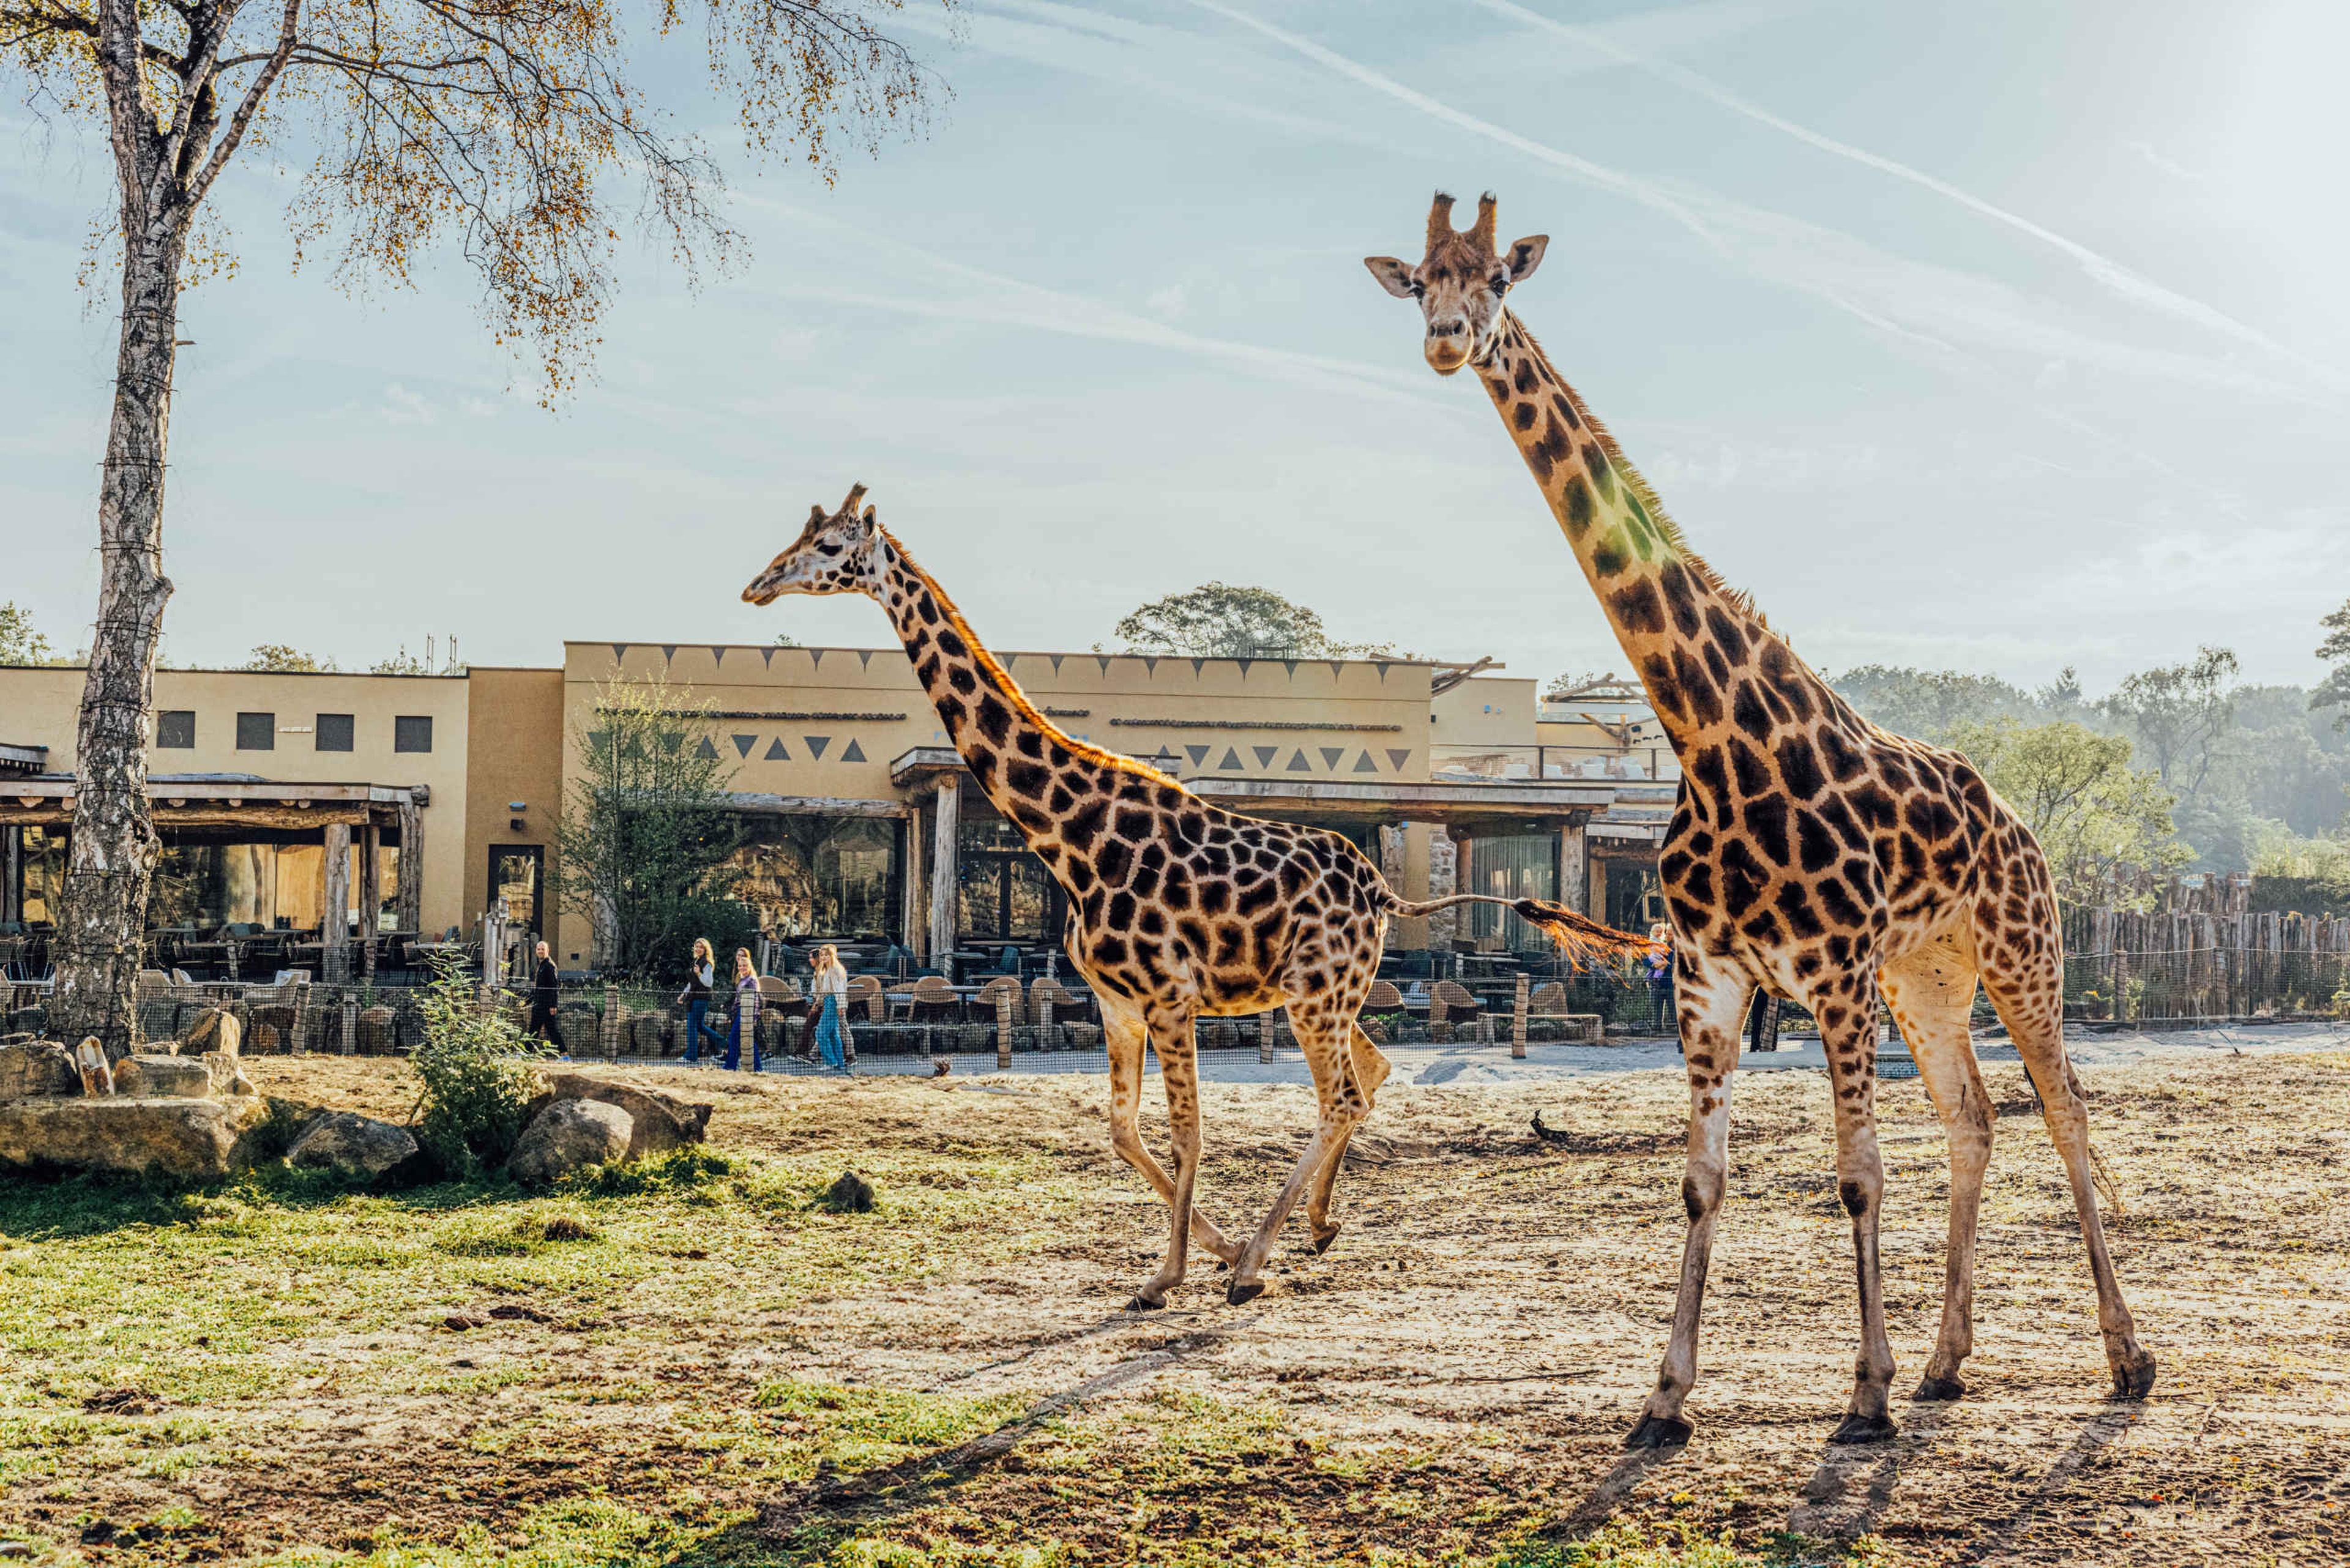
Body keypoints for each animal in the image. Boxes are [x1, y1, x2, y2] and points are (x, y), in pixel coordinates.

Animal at [743, 485, 1657, 1309]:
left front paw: (1174, 1272)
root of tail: (1382, 894)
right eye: (801, 536)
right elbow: (1120, 1128)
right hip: (1328, 993)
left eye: (829, 547)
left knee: (1343, 1093)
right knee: (1371, 1071)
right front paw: (1199, 1254)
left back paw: (1258, 1263)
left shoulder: (1171, 996)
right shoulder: (1117, 1002)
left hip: (1319, 993)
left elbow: (1188, 1129)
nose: (758, 584)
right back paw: (1314, 1228)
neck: (1073, 837)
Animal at [1366, 193, 2157, 1447]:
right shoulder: (1710, 973)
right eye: (1421, 280)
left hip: (2022, 951)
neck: (1708, 736)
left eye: (1495, 278)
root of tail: (2022, 826)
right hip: (1927, 973)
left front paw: (1865, 1392)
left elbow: (1858, 1170)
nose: (1447, 339)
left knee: (2064, 1108)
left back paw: (2125, 1359)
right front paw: (1666, 1396)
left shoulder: (1829, 972)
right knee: (1975, 1118)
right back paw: (1948, 1363)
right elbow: (1703, 1177)